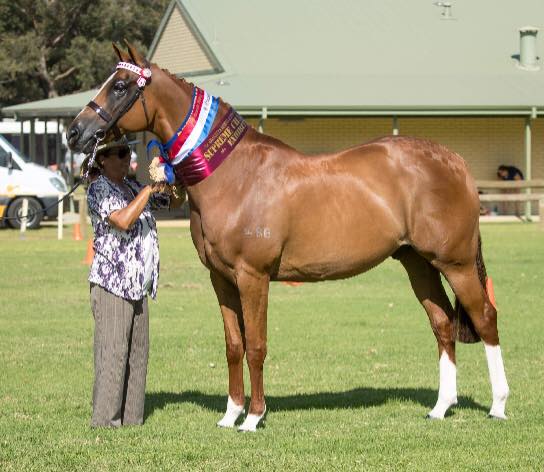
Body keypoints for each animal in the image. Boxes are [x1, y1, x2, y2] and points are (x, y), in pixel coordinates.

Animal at [68, 44, 510, 432]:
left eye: (120, 85)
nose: (76, 131)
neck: (234, 175)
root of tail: (453, 161)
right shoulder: (221, 279)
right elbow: (234, 345)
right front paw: (230, 415)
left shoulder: (253, 277)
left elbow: (257, 345)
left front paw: (253, 418)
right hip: (418, 262)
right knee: (442, 323)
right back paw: (441, 408)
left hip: (456, 263)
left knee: (486, 317)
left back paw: (498, 406)